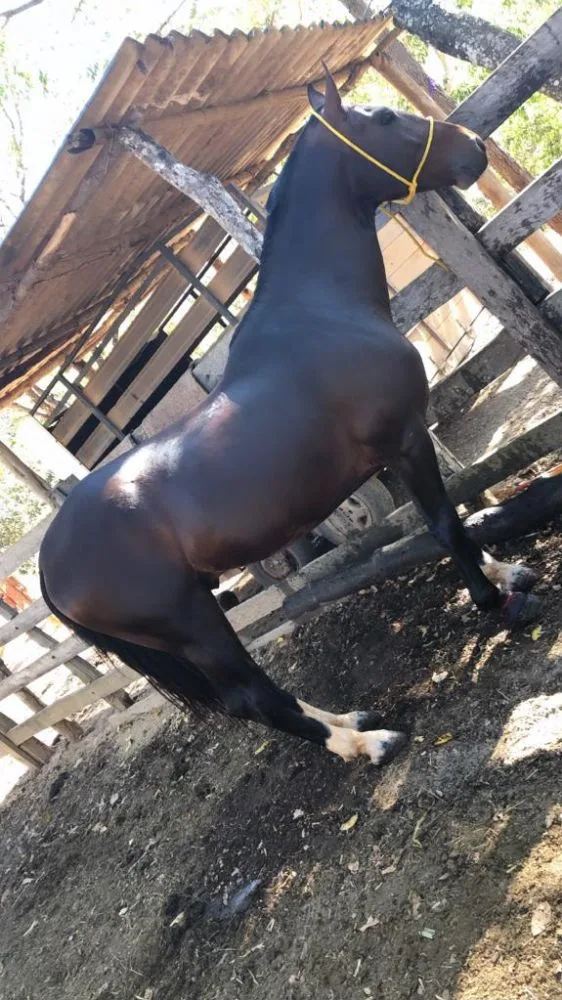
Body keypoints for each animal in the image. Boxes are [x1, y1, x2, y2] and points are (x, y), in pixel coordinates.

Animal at [40, 69, 539, 767]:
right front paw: (493, 598)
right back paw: (367, 742)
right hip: (191, 620)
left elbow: (455, 518)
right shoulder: (404, 439)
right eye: (385, 118)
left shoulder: (401, 445)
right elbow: (443, 523)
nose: (474, 147)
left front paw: (503, 571)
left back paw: (352, 721)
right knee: (252, 697)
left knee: (254, 697)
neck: (322, 312)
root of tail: (48, 565)